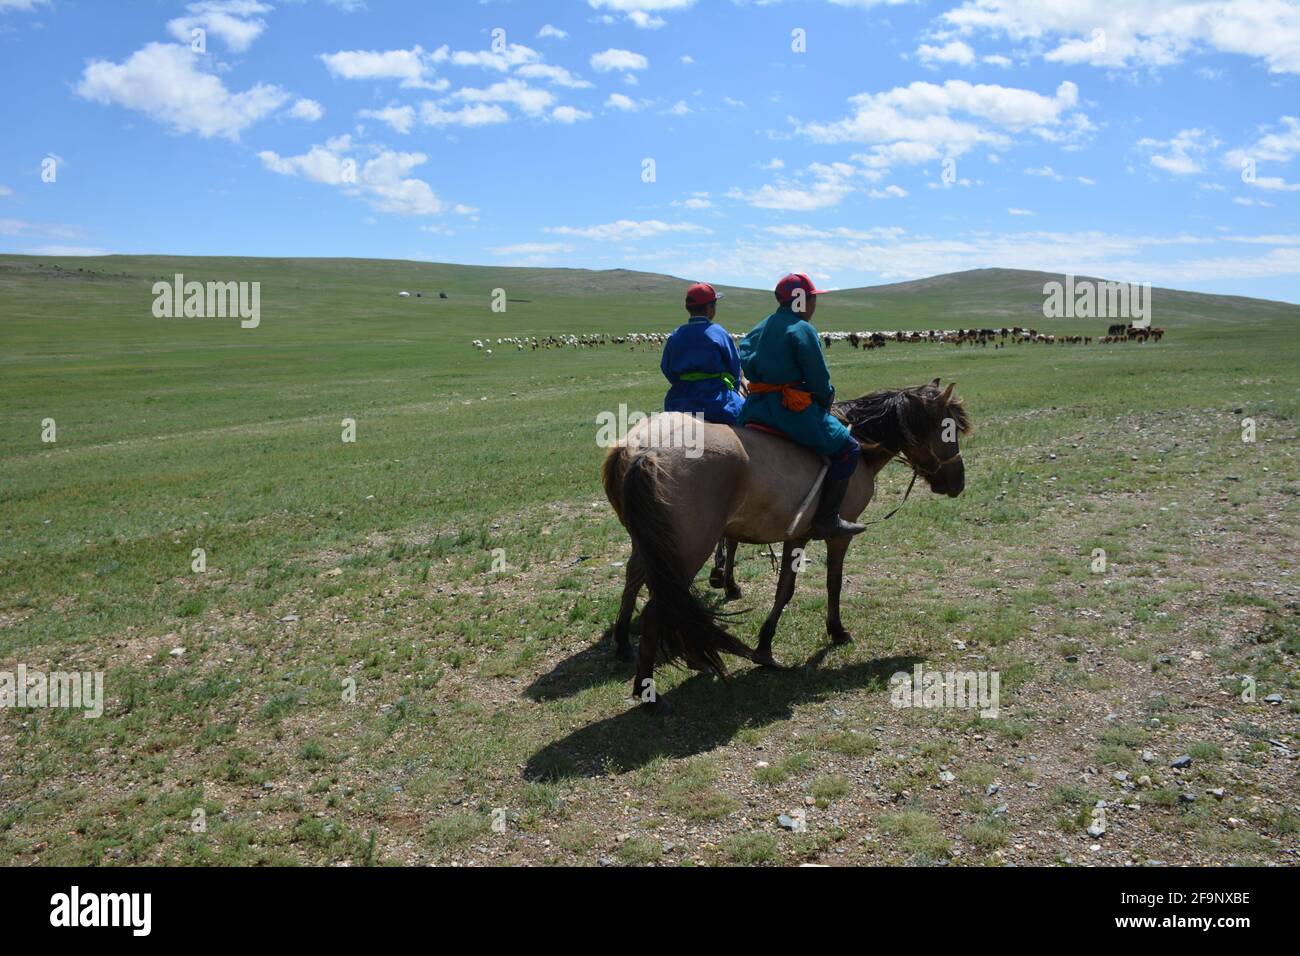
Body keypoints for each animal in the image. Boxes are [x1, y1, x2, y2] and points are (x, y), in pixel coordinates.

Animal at [603, 379, 972, 702]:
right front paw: (836, 631)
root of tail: (646, 451)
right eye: (948, 430)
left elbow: (785, 588)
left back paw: (628, 645)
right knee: (657, 606)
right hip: (686, 550)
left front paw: (764, 646)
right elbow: (832, 582)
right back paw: (647, 689)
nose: (958, 483)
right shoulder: (837, 537)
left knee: (636, 579)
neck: (862, 447)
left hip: (652, 545)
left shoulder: (796, 536)